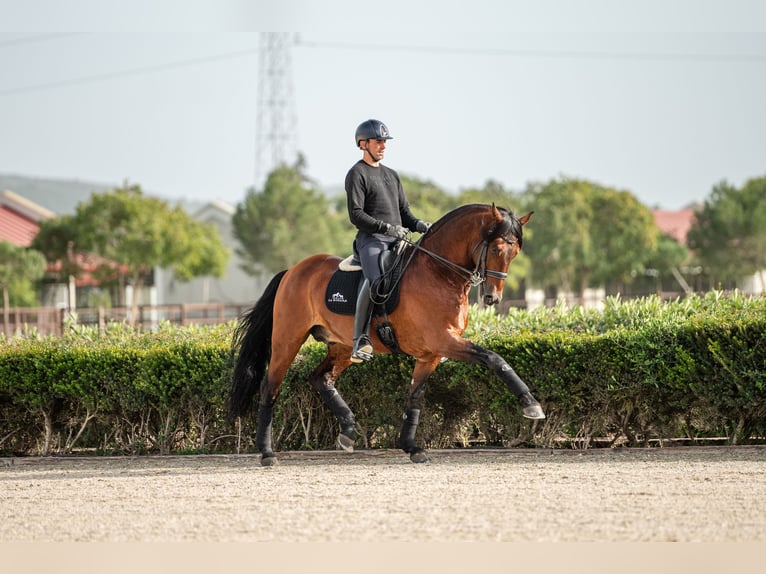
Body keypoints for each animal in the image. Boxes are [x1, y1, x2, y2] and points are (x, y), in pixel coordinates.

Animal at [228, 205, 544, 466]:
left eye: (515, 253)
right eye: (497, 249)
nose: (492, 298)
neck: (439, 273)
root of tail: (293, 270)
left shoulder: (431, 354)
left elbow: (415, 398)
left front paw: (412, 447)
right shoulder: (444, 341)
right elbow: (495, 359)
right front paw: (531, 405)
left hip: (340, 346)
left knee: (321, 378)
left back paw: (348, 431)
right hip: (288, 339)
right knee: (270, 386)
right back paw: (267, 453)